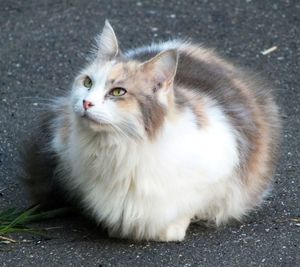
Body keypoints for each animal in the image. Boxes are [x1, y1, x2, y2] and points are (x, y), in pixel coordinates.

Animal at [19, 20, 280, 243]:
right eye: (87, 82)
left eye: (118, 92)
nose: (86, 102)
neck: (122, 148)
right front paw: (117, 229)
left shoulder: (221, 168)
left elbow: (188, 206)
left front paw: (170, 231)